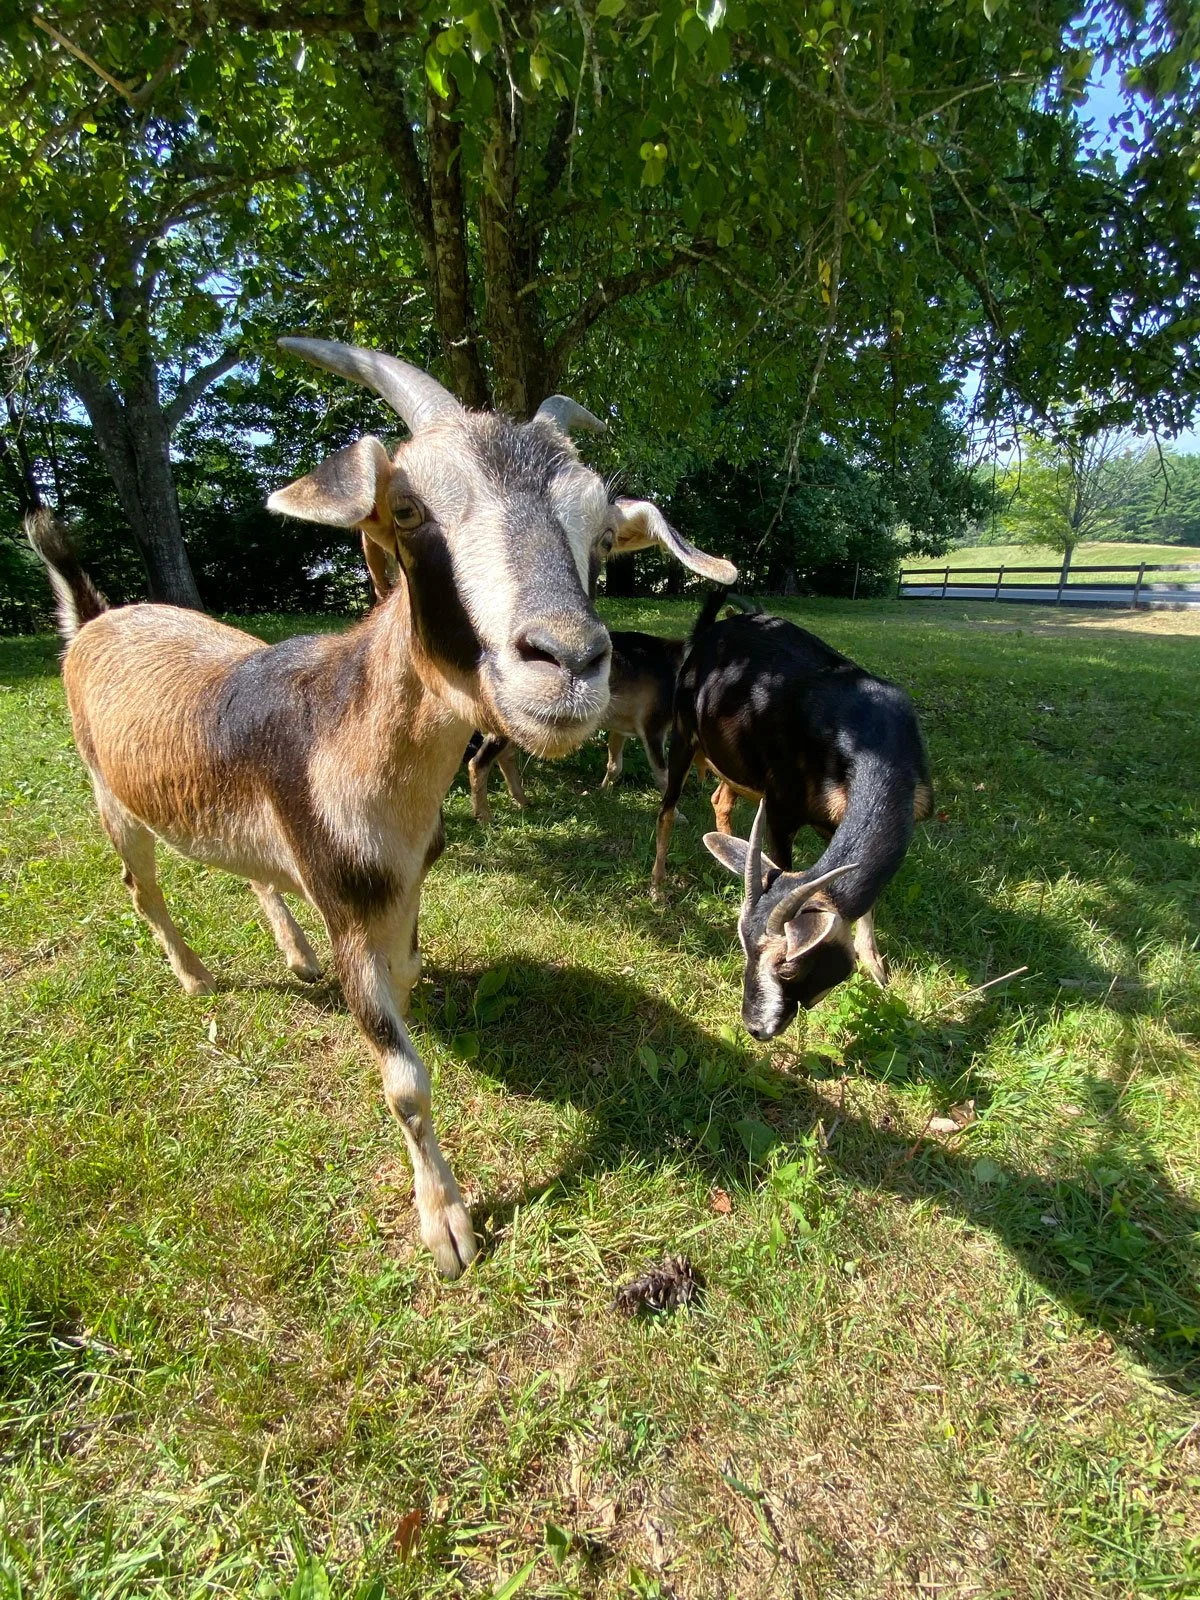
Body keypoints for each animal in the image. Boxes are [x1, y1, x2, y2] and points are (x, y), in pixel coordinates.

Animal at [28, 339, 736, 1277]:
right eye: (407, 507)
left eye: (600, 536)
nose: (570, 660)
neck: (352, 740)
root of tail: (94, 622)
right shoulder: (347, 905)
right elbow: (403, 1081)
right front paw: (449, 1227)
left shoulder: (400, 887)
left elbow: (406, 971)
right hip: (110, 795)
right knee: (141, 888)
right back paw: (196, 975)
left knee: (254, 877)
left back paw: (293, 957)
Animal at [650, 594, 932, 1037]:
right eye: (744, 948)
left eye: (788, 966)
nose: (755, 1026)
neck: (872, 741)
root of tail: (710, 631)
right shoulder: (782, 810)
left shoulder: (840, 818)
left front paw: (878, 972)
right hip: (684, 734)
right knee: (667, 806)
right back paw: (658, 886)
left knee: (720, 798)